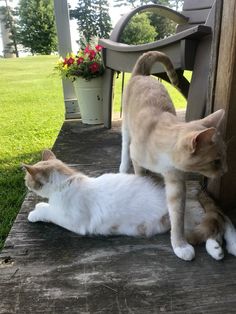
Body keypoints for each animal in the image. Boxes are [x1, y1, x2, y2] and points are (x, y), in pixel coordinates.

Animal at [22, 150, 236, 260]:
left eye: (26, 180)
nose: (25, 184)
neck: (67, 182)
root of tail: (196, 187)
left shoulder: (74, 221)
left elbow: (51, 212)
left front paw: (37, 211)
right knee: (216, 228)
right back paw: (218, 249)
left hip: (186, 216)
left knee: (223, 222)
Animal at [120, 51, 227, 262]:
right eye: (216, 161)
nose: (226, 171)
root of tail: (141, 75)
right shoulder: (138, 159)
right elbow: (139, 175)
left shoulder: (176, 183)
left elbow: (177, 216)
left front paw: (180, 245)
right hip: (126, 130)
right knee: (124, 149)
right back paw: (122, 168)